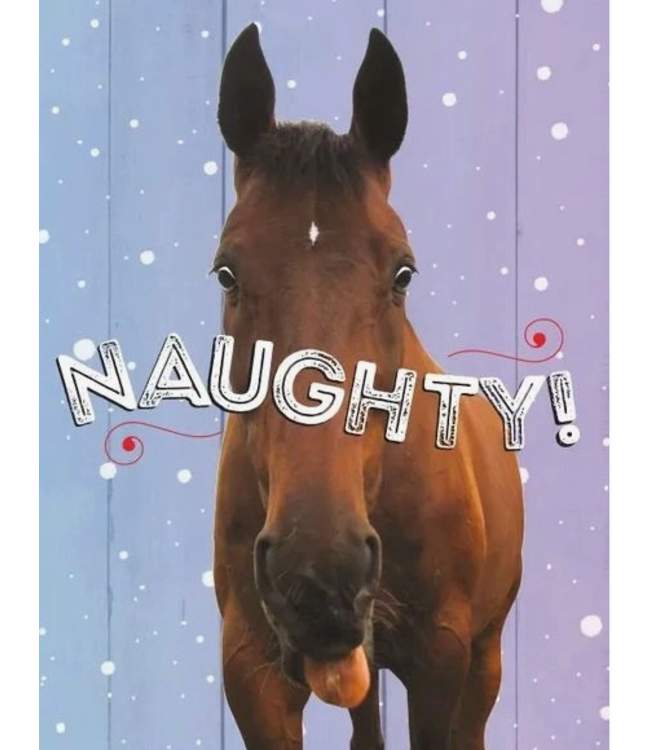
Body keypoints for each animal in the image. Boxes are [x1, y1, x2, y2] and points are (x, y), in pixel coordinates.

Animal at [211, 24, 524, 750]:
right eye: (227, 273)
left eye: (403, 273)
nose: (319, 571)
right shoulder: (253, 672)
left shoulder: (442, 657)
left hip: (486, 656)